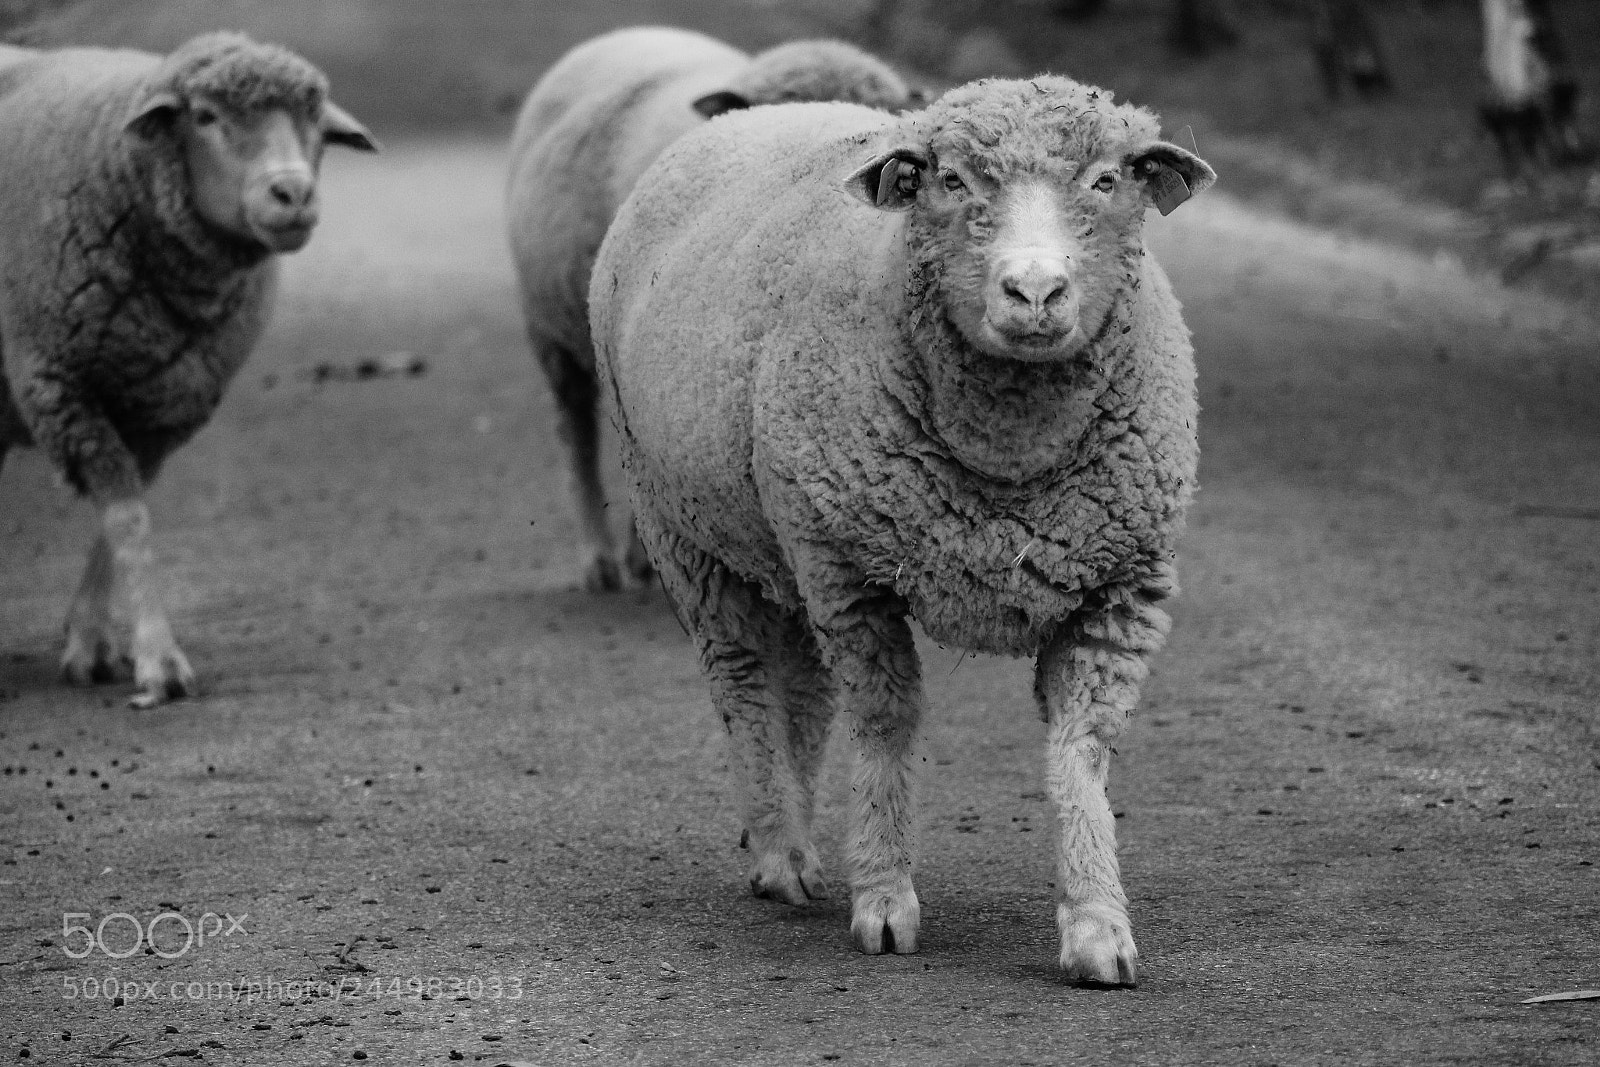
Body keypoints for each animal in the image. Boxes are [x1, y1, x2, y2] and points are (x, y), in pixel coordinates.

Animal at [0, 31, 377, 708]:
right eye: (204, 117)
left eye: (314, 120)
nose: (293, 194)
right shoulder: (62, 387)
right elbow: (127, 518)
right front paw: (159, 661)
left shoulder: (162, 401)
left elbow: (121, 518)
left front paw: (91, 642)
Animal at [590, 75, 1214, 985]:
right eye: (950, 181)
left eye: (1107, 181)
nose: (1034, 292)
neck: (1009, 455)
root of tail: (760, 112)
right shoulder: (855, 580)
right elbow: (885, 723)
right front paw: (885, 900)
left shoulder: (1120, 592)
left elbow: (1082, 750)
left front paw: (1098, 924)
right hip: (691, 533)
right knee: (743, 680)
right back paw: (778, 848)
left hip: (786, 541)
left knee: (804, 687)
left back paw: (801, 837)